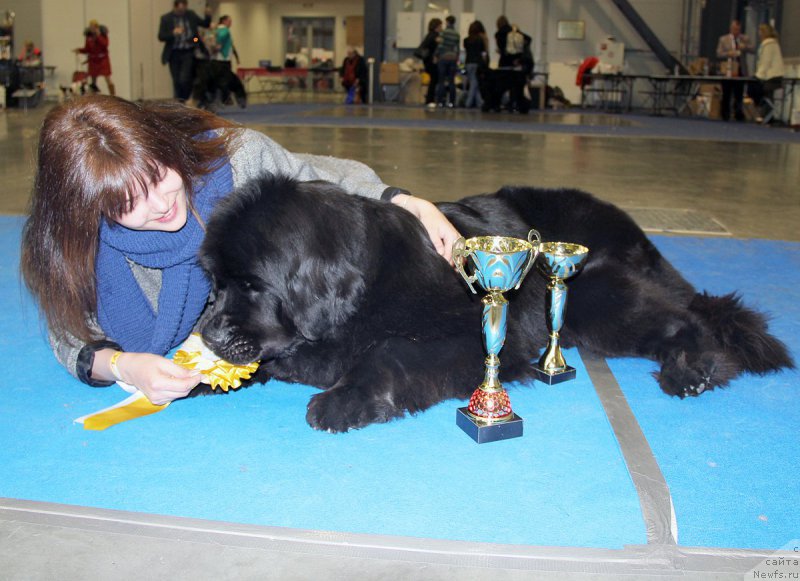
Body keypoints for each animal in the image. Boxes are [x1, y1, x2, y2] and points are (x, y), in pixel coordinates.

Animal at [200, 176, 792, 430]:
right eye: (215, 282)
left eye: (253, 285)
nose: (208, 333)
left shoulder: (477, 334)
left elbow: (388, 350)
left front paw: (344, 400)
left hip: (593, 292)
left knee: (682, 318)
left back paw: (692, 367)